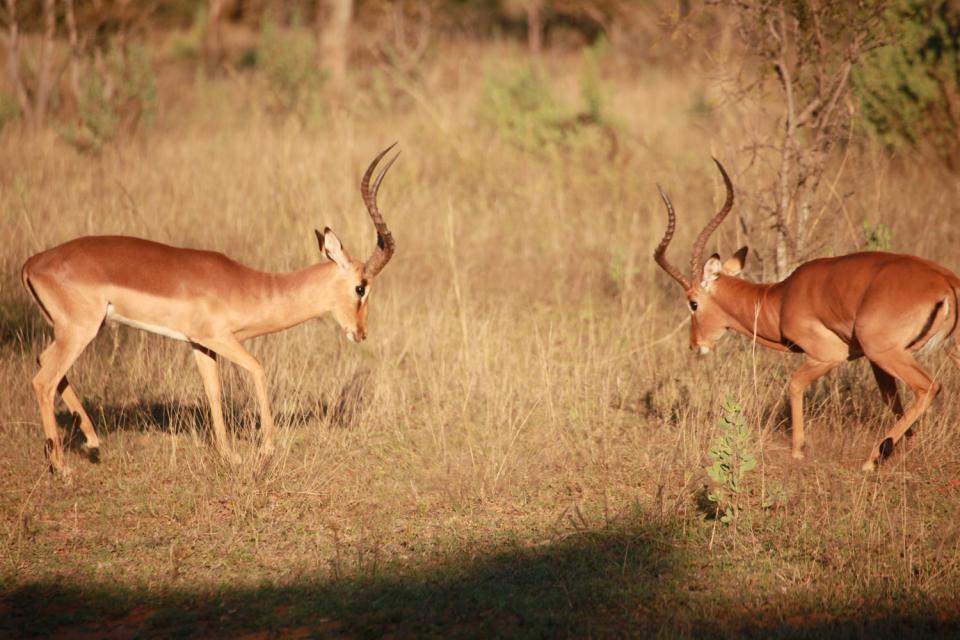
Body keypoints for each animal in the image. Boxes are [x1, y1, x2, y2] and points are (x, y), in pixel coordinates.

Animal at [22, 146, 400, 476]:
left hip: (77, 329)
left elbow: (213, 391)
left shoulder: (199, 344)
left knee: (45, 363)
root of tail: (32, 263)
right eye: (361, 287)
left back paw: (92, 442)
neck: (248, 287)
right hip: (80, 330)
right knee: (44, 380)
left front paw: (229, 456)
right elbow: (258, 369)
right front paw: (266, 450)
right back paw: (62, 467)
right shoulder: (219, 338)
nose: (360, 333)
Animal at [652, 160, 960, 470]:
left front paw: (798, 450)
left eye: (693, 303)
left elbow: (794, 384)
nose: (695, 345)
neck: (780, 299)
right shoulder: (872, 363)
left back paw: (870, 460)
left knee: (929, 387)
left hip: (889, 353)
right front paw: (909, 444)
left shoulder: (829, 355)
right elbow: (891, 399)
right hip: (931, 351)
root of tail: (945, 282)